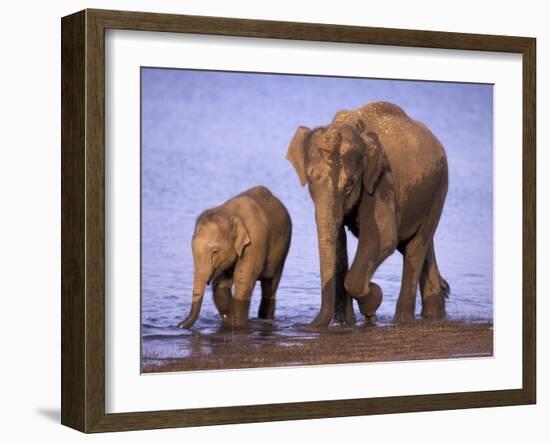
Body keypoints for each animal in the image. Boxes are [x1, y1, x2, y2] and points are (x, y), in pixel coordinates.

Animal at [180, 186, 294, 328]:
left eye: (215, 251)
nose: (178, 326)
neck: (229, 213)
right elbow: (221, 286)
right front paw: (229, 320)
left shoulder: (254, 243)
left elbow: (243, 281)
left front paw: (238, 325)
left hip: (283, 250)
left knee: (270, 286)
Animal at [286, 101, 450, 328]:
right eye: (310, 181)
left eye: (350, 186)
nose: (302, 326)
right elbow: (339, 244)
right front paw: (346, 323)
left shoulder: (381, 181)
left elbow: (384, 238)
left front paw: (373, 302)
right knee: (418, 245)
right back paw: (434, 313)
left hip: (439, 188)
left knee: (415, 246)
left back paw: (403, 320)